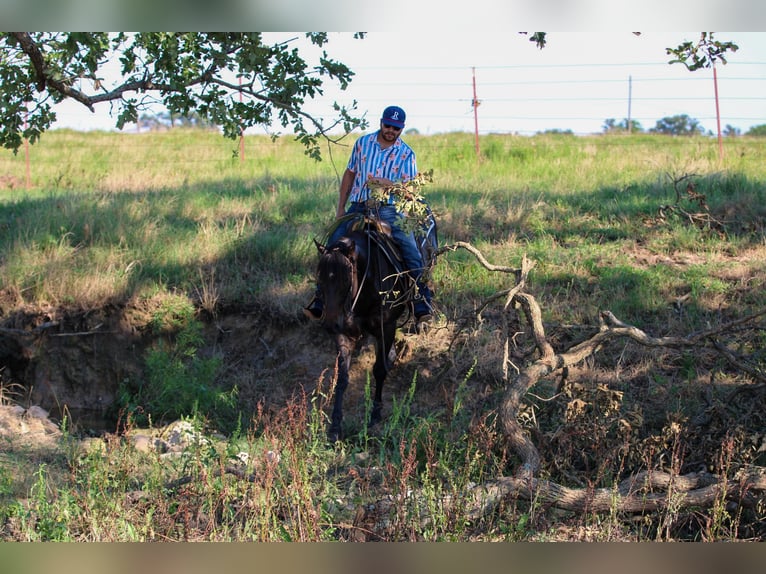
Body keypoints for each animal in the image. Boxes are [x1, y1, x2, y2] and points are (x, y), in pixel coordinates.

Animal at [314, 223, 414, 444]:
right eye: (320, 279)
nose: (330, 324)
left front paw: (375, 415)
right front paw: (335, 427)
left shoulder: (387, 327)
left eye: (346, 280)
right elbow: (342, 378)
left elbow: (379, 370)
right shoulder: (344, 334)